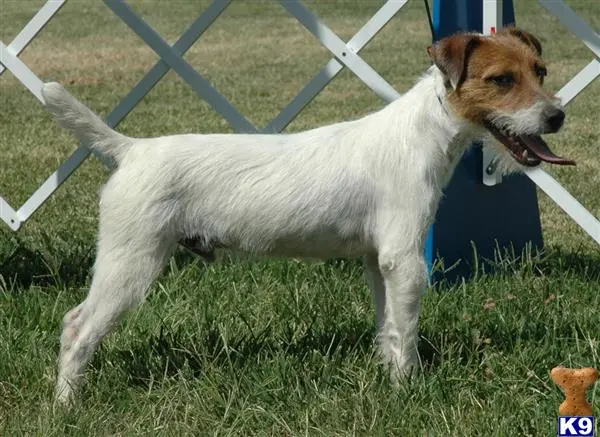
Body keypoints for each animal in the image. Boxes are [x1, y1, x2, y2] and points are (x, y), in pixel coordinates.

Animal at [43, 27, 572, 404]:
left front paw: (388, 378)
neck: (422, 132)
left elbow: (388, 327)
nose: (557, 116)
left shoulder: (378, 262)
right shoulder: (404, 260)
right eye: (501, 79)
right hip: (130, 263)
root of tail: (131, 150)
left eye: (541, 71)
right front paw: (408, 390)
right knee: (77, 328)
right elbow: (406, 331)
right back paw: (66, 404)